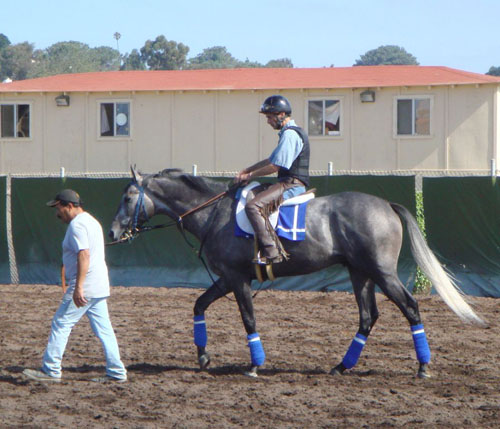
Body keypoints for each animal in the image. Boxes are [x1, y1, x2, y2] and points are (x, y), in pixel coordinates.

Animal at [110, 167, 484, 378]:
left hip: (383, 274)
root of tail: (385, 205)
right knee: (367, 317)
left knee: (410, 308)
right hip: (360, 274)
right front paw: (202, 355)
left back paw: (422, 366)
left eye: (128, 197)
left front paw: (255, 364)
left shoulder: (236, 279)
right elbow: (199, 305)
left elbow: (248, 319)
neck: (216, 212)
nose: (113, 232)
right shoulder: (227, 279)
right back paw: (342, 366)